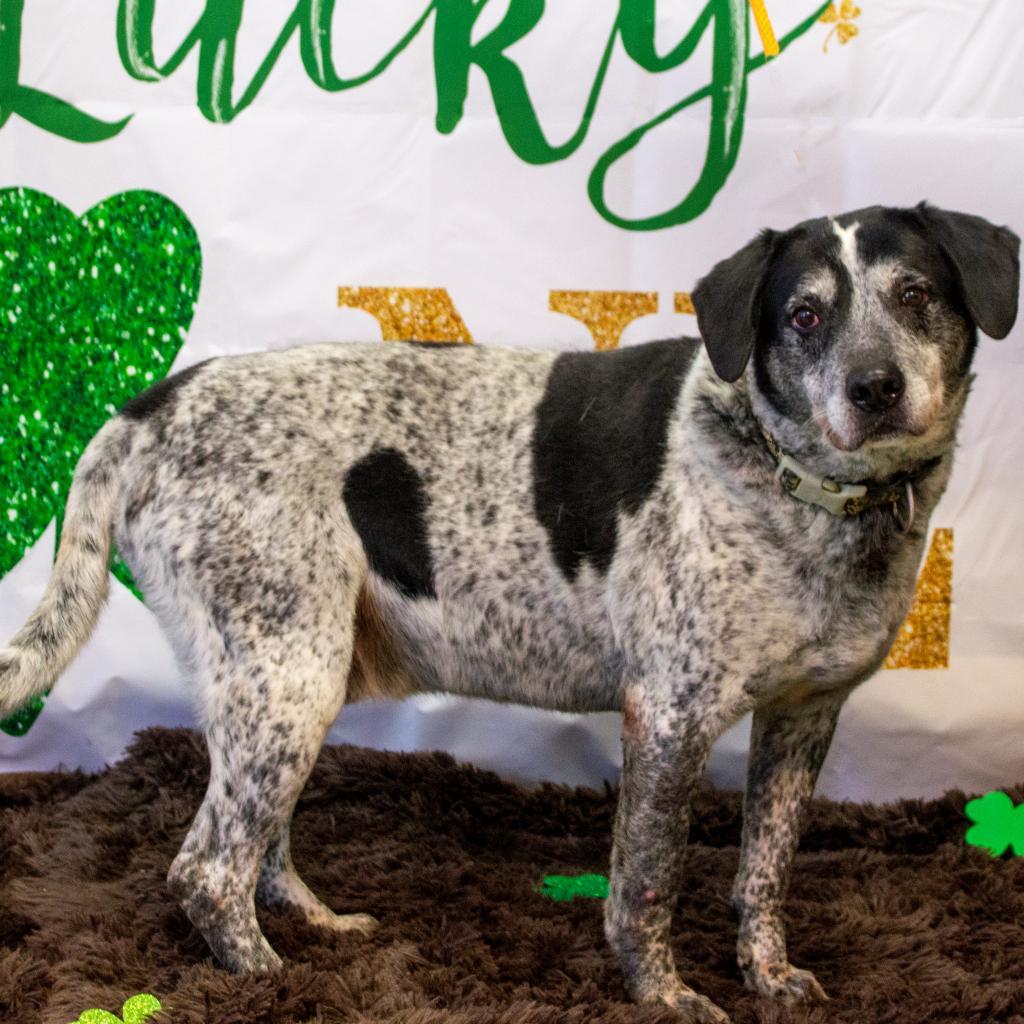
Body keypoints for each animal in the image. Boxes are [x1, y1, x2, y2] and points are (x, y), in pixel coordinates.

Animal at [4, 203, 1019, 1019]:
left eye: (917, 295)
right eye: (804, 315)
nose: (875, 388)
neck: (793, 480)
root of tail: (147, 408)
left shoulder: (804, 719)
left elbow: (763, 874)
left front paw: (767, 977)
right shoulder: (670, 715)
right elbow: (647, 883)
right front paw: (664, 997)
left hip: (269, 685)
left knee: (256, 849)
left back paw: (319, 929)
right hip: (288, 677)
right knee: (208, 871)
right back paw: (268, 980)